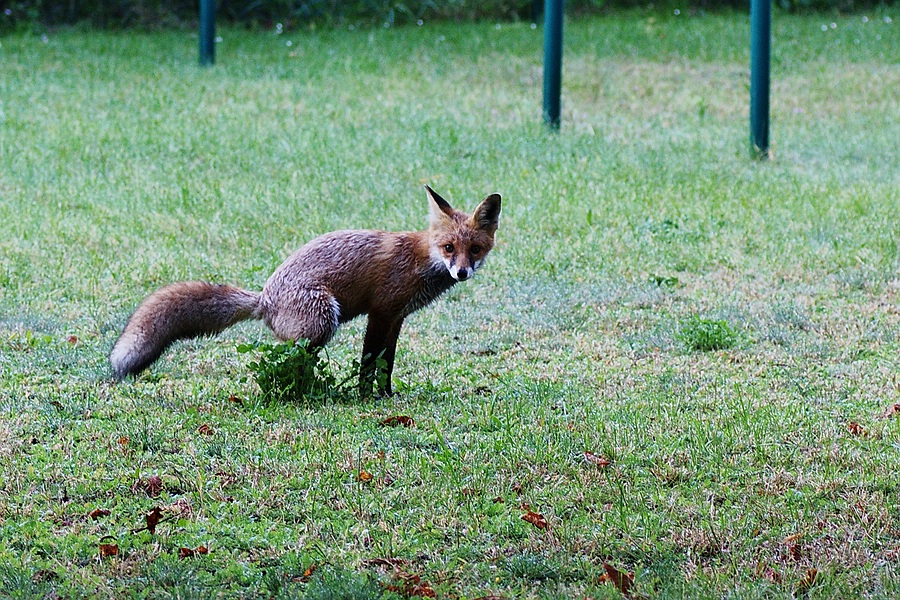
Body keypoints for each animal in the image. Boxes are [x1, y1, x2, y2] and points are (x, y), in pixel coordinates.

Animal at [110, 185, 502, 396]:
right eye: (449, 248)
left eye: (474, 249)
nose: (462, 272)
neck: (420, 258)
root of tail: (264, 298)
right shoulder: (381, 312)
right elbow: (368, 363)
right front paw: (367, 398)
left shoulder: (397, 318)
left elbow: (386, 364)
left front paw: (387, 395)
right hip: (324, 320)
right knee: (294, 358)